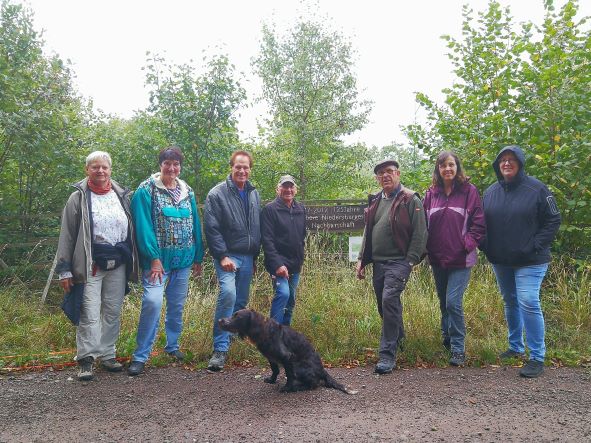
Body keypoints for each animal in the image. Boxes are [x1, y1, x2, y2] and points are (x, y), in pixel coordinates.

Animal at [217, 308, 356, 396]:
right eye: (233, 315)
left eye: (237, 317)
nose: (220, 320)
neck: (264, 330)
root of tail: (323, 370)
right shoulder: (271, 357)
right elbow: (275, 370)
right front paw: (272, 380)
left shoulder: (287, 357)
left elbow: (289, 375)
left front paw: (287, 388)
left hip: (299, 367)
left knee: (314, 384)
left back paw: (298, 387)